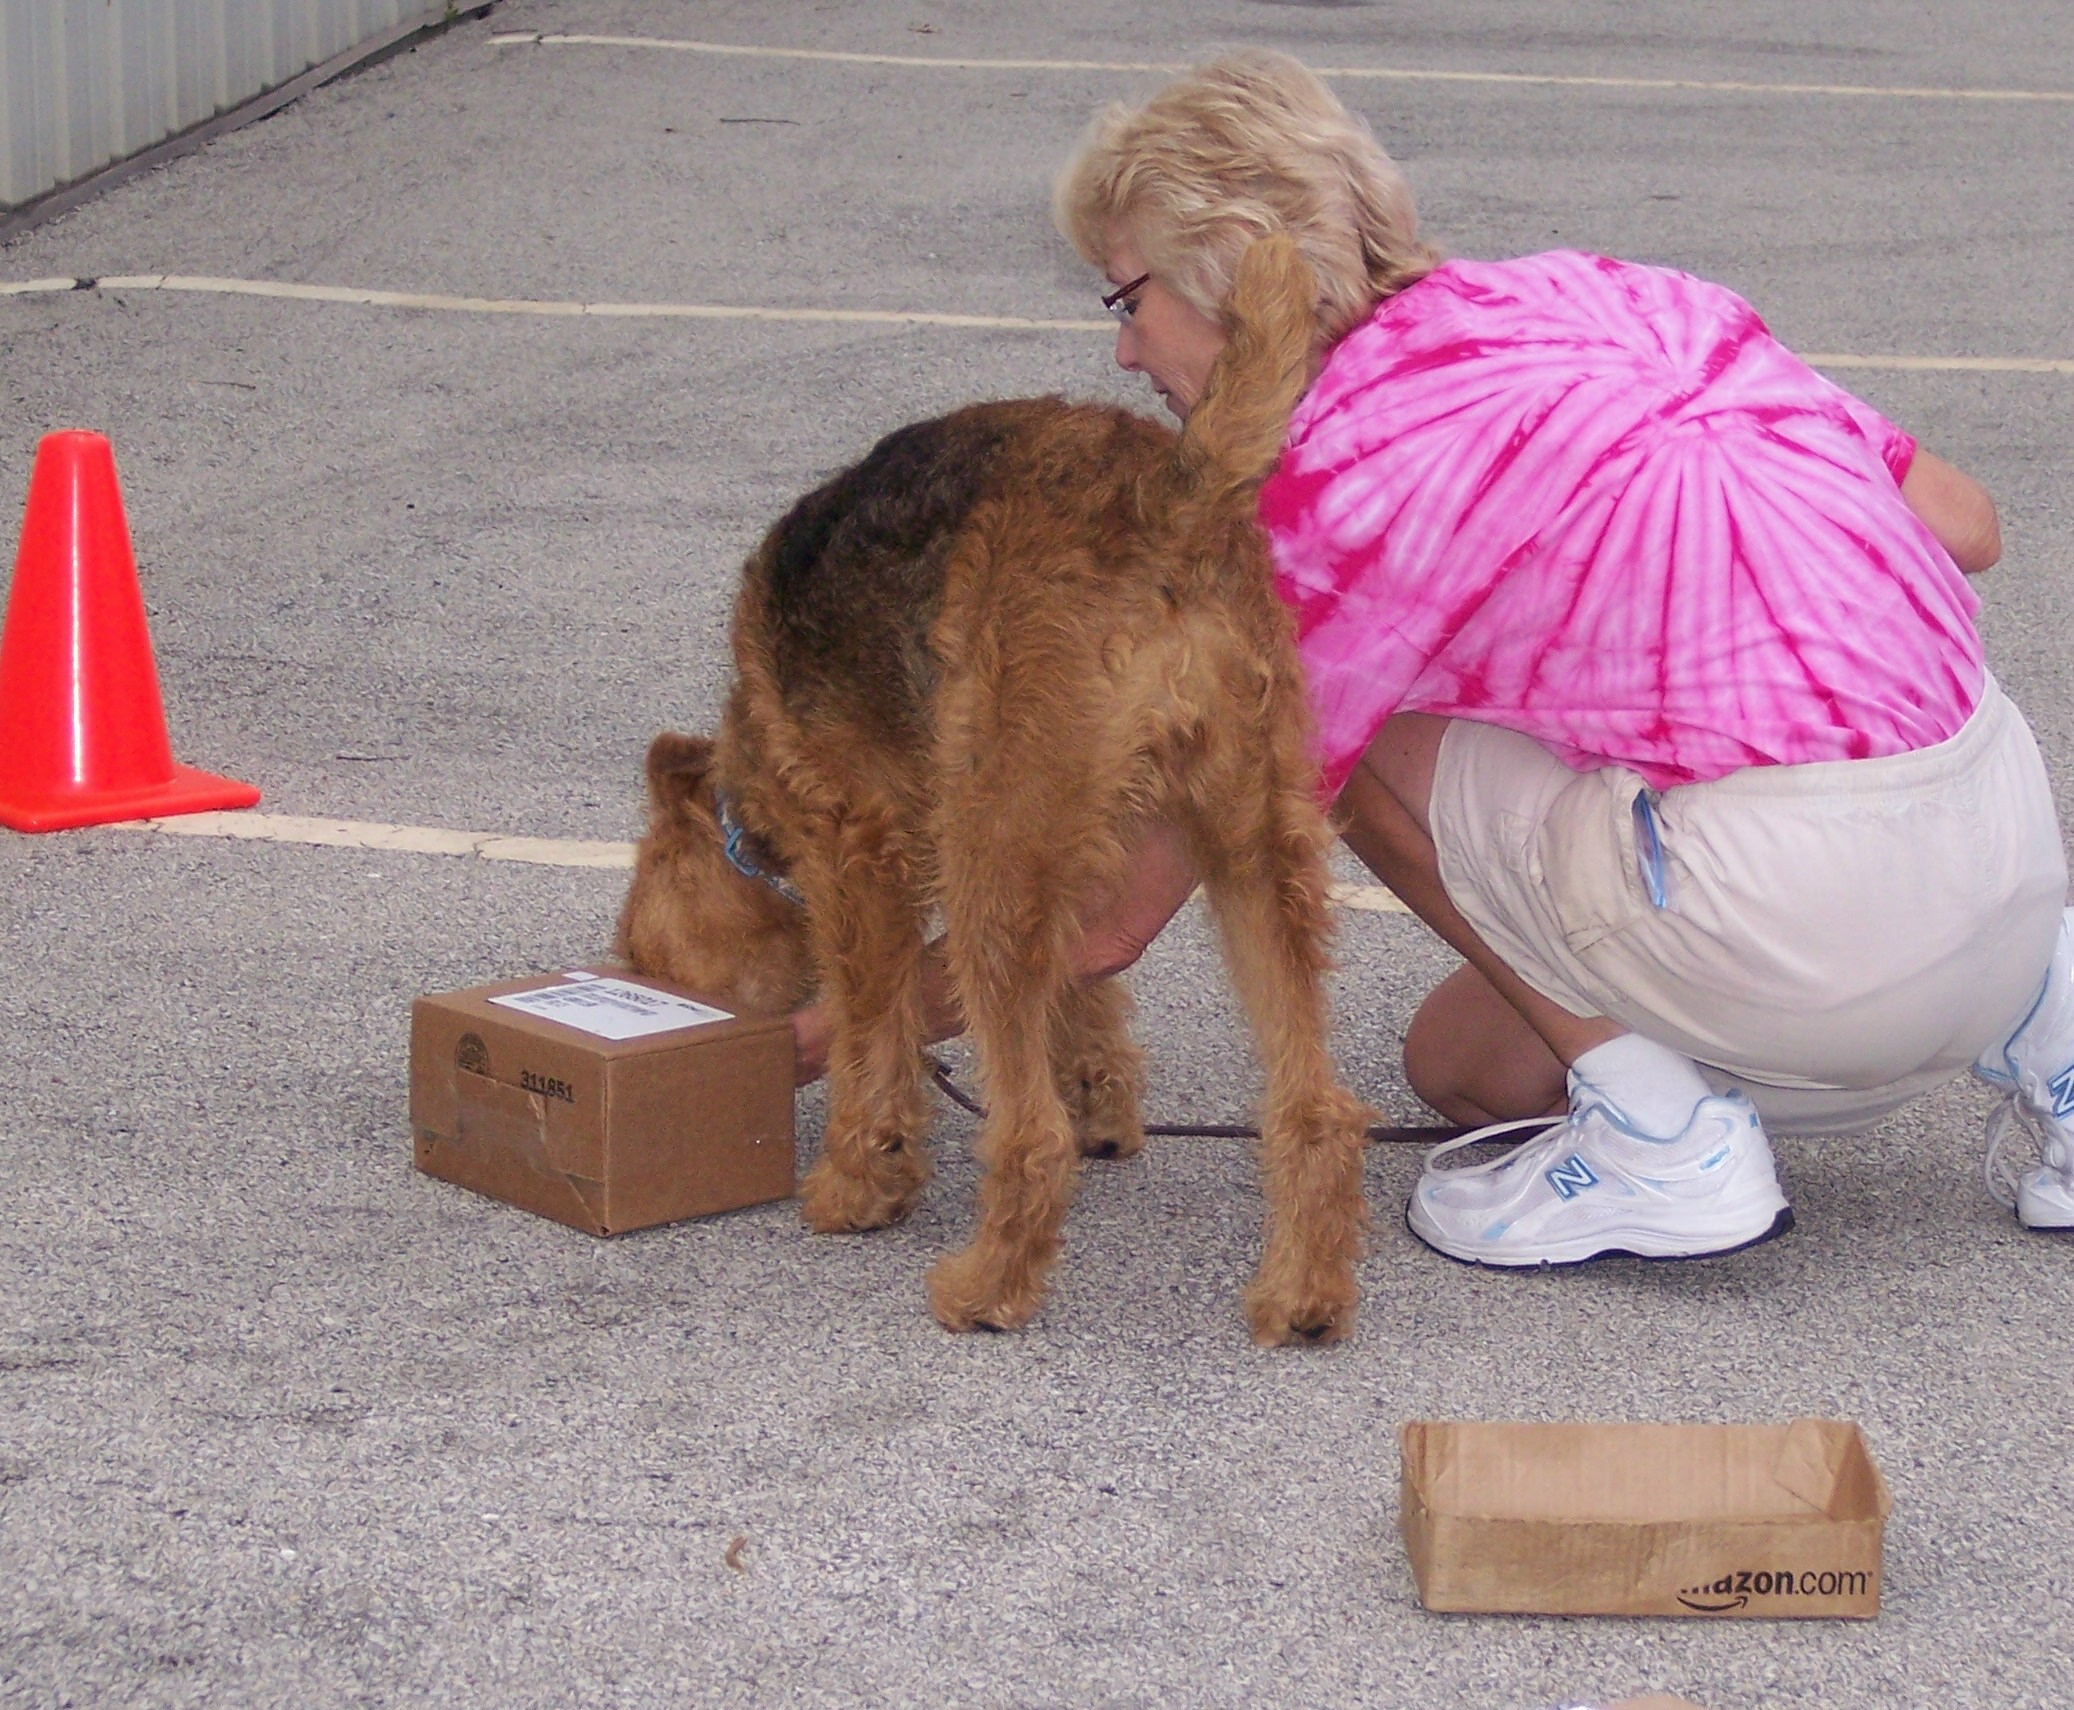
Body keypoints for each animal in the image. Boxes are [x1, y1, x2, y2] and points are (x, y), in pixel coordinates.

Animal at [613, 233, 1377, 1344]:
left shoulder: (858, 858)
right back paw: (1302, 1295)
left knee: (1027, 1135)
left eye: (641, 961)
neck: (751, 787)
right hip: (1252, 841)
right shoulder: (1088, 876)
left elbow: (871, 1036)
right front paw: (1104, 1100)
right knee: (1314, 1104)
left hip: (995, 858)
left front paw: (862, 1179)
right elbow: (1088, 1000)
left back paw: (984, 1288)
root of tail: (1169, 500)